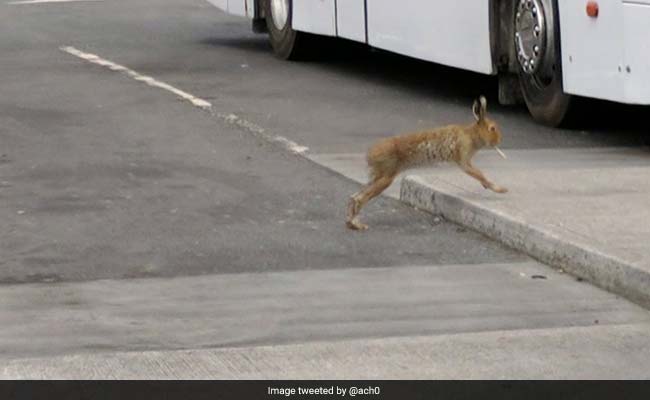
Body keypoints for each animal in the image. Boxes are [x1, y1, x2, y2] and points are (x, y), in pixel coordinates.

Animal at [346, 96, 508, 231]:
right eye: (492, 128)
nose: (499, 140)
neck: (471, 134)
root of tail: (370, 155)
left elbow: (479, 174)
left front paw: (489, 186)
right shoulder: (464, 160)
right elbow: (479, 173)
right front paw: (500, 189)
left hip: (377, 177)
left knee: (354, 196)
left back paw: (351, 223)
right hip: (386, 177)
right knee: (360, 198)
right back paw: (358, 225)